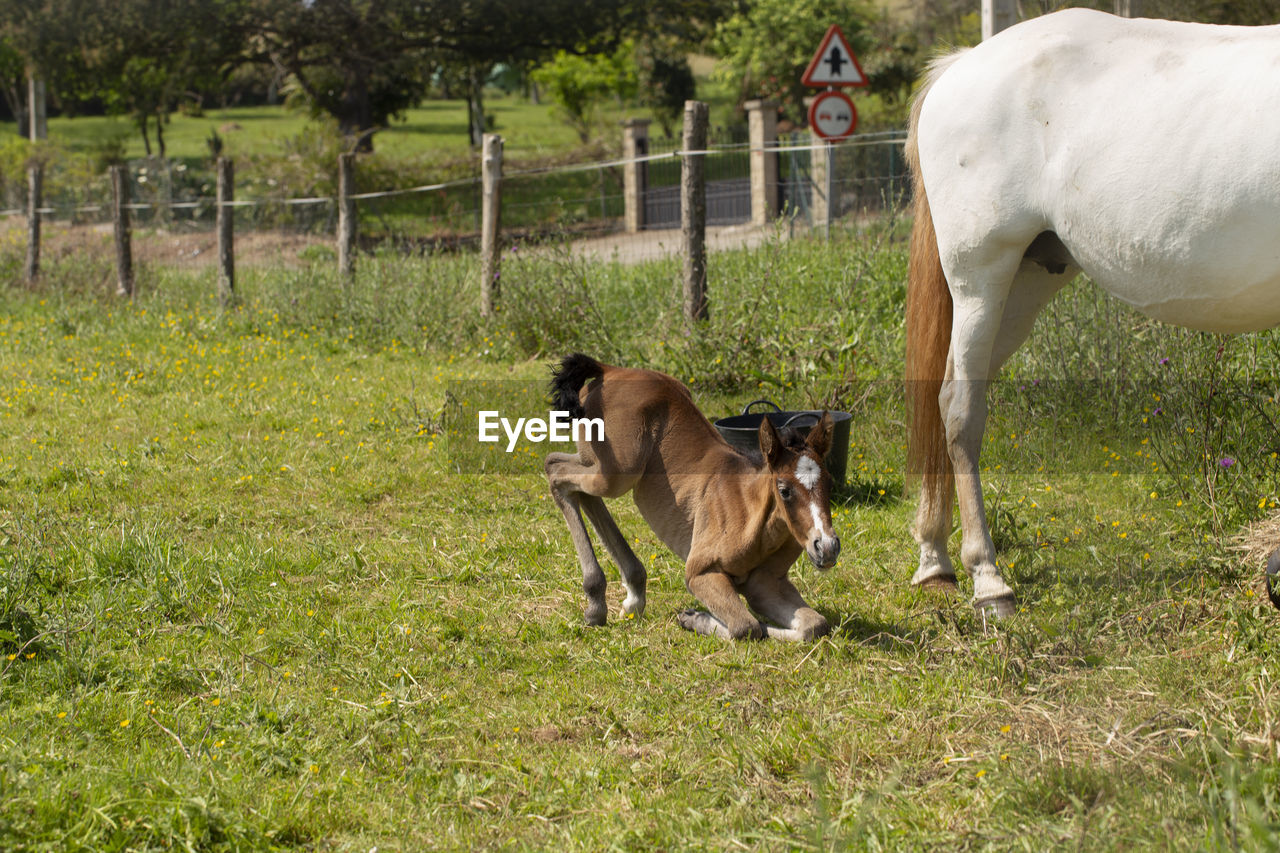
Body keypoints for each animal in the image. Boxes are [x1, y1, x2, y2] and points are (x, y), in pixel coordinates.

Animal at [540, 350, 839, 637]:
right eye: (784, 490)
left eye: (829, 484)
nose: (826, 547)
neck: (752, 513)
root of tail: (610, 369)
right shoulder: (700, 573)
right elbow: (746, 627)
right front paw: (695, 618)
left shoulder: (765, 584)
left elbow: (814, 626)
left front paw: (695, 617)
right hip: (616, 474)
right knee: (555, 468)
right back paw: (596, 602)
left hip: (603, 467)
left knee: (579, 488)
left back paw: (632, 595)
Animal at [906, 9, 1280, 614]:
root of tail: (960, 66)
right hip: (981, 276)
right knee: (960, 410)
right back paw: (988, 579)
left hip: (1025, 285)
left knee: (943, 394)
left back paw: (934, 560)